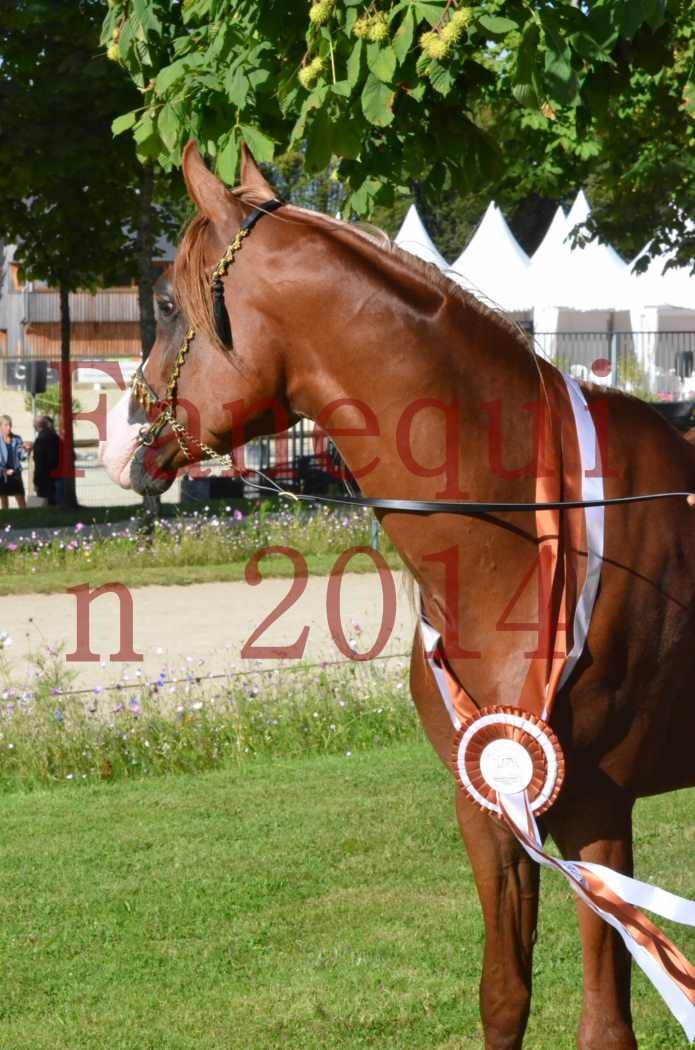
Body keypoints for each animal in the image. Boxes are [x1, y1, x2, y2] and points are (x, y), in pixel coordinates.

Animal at [100, 141, 695, 1050]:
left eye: (166, 302)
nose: (122, 446)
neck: (533, 531)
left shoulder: (597, 812)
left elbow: (603, 1026)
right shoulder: (490, 805)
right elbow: (503, 996)